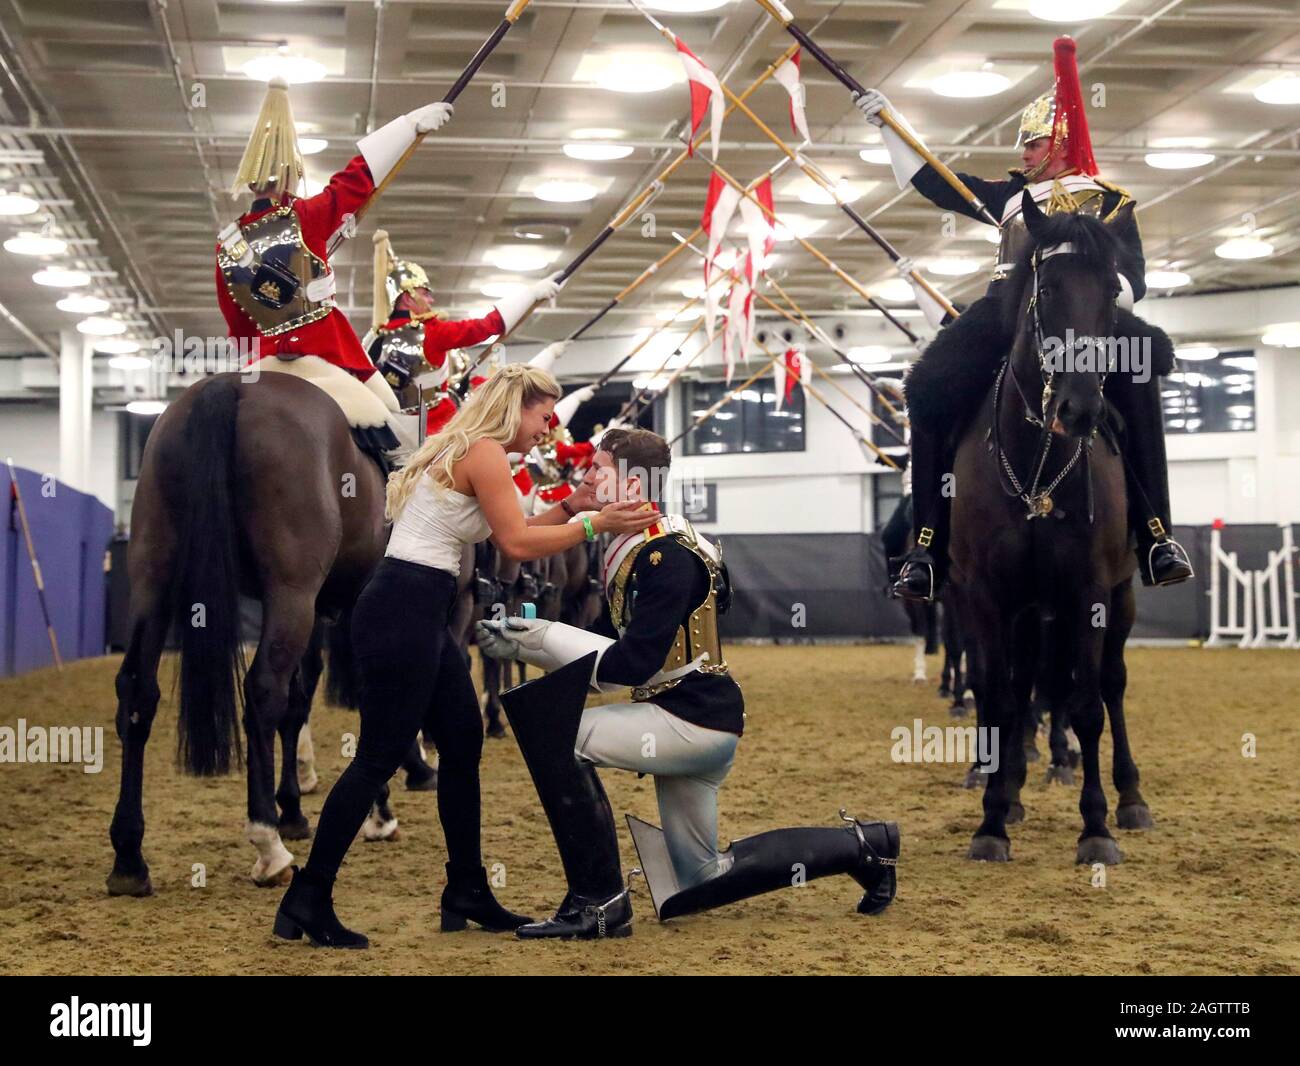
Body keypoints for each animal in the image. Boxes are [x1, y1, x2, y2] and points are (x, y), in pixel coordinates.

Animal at [107, 371, 387, 894]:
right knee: (262, 691)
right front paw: (381, 809)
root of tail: (230, 387)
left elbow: (301, 702)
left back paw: (129, 858)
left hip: (153, 579)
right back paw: (268, 845)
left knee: (138, 691)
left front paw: (294, 808)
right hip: (290, 592)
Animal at [946, 193, 1159, 868]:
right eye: (1048, 287)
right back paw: (1011, 789)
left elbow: (1087, 704)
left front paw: (1096, 828)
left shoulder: (1088, 592)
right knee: (1021, 689)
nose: (1080, 408)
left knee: (1111, 686)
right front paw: (992, 820)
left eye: (1112, 290)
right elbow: (998, 699)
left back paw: (1130, 798)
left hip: (1120, 596)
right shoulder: (986, 597)